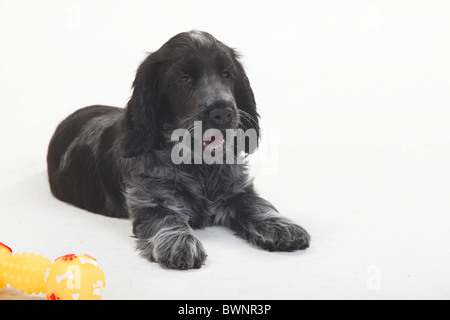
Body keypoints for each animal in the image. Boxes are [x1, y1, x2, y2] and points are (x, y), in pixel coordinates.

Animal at [47, 30, 312, 270]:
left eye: (227, 74)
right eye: (184, 79)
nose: (223, 112)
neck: (198, 164)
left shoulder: (236, 188)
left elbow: (257, 203)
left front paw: (282, 227)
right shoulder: (150, 199)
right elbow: (167, 217)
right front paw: (180, 244)